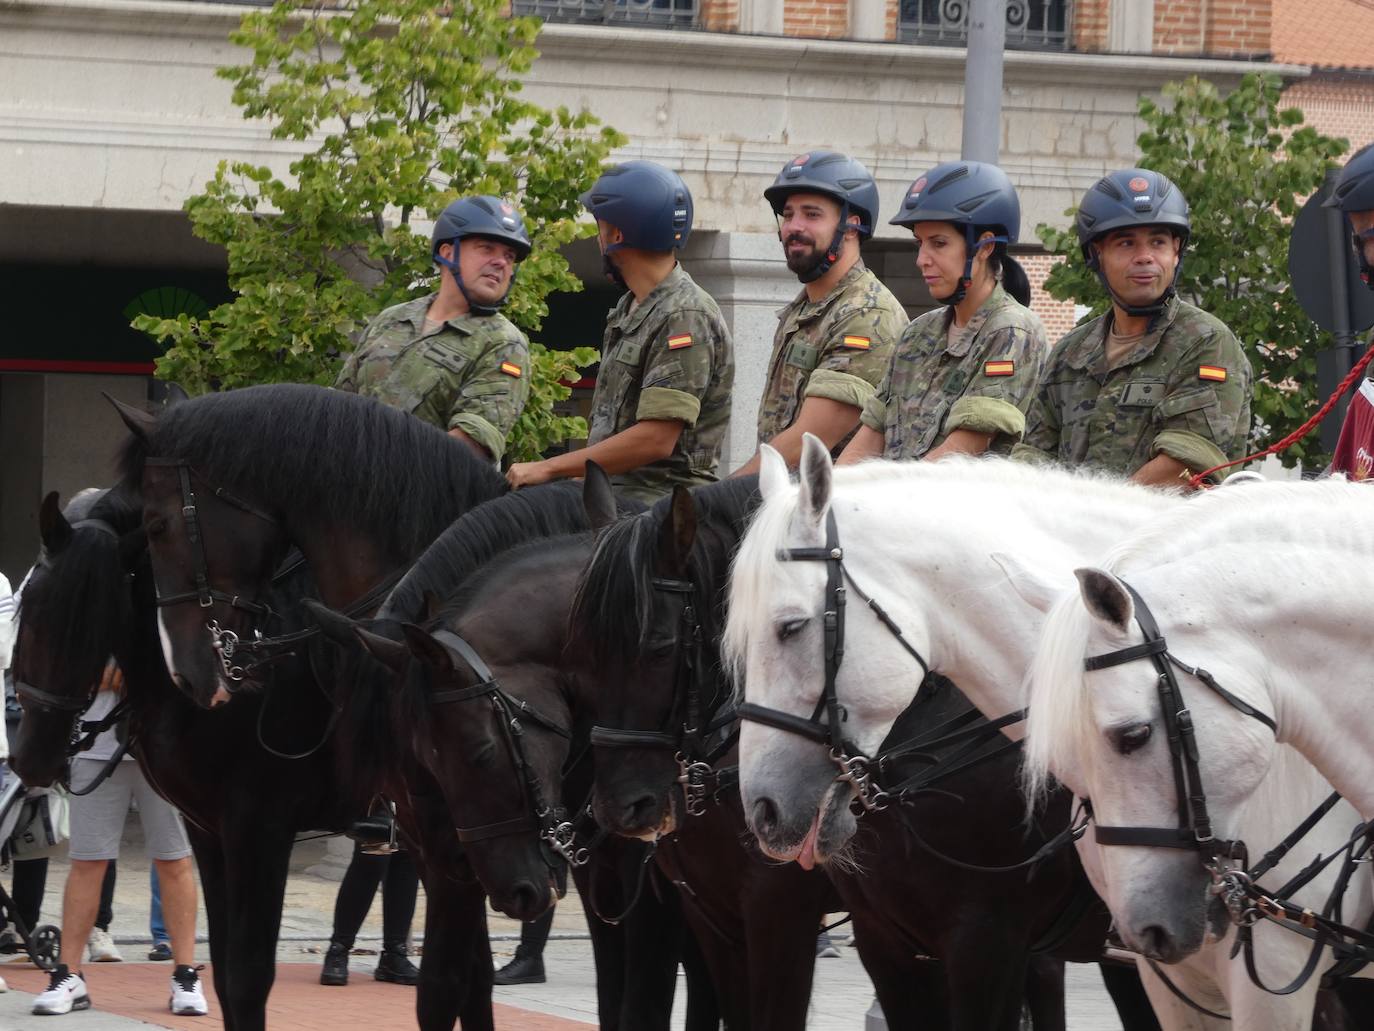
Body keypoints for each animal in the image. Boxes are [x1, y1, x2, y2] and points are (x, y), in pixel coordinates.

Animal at [10, 489, 354, 1028]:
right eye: (32, 604)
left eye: (102, 617)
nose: (35, 756)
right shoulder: (212, 832)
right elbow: (230, 977)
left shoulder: (261, 830)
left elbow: (249, 976)